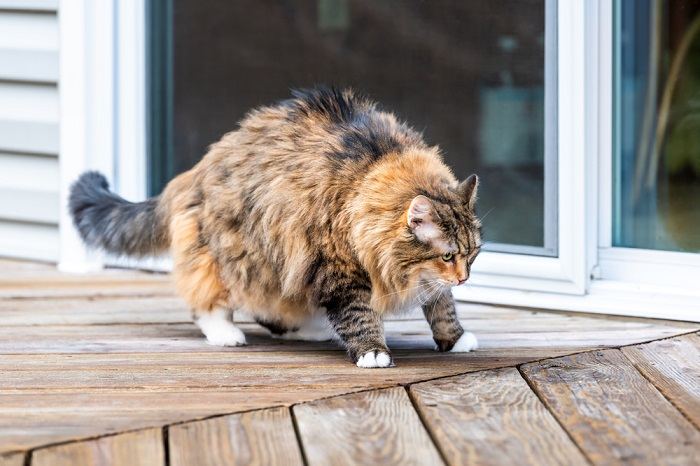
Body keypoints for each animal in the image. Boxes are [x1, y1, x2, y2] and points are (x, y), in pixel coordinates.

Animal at [71, 86, 482, 368]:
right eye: (448, 255)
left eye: (472, 255)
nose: (464, 278)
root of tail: (198, 168)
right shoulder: (339, 267)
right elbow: (359, 314)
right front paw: (372, 351)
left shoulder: (425, 280)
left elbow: (443, 306)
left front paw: (455, 339)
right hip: (237, 255)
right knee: (208, 302)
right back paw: (227, 334)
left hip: (275, 261)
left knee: (273, 306)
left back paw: (311, 330)